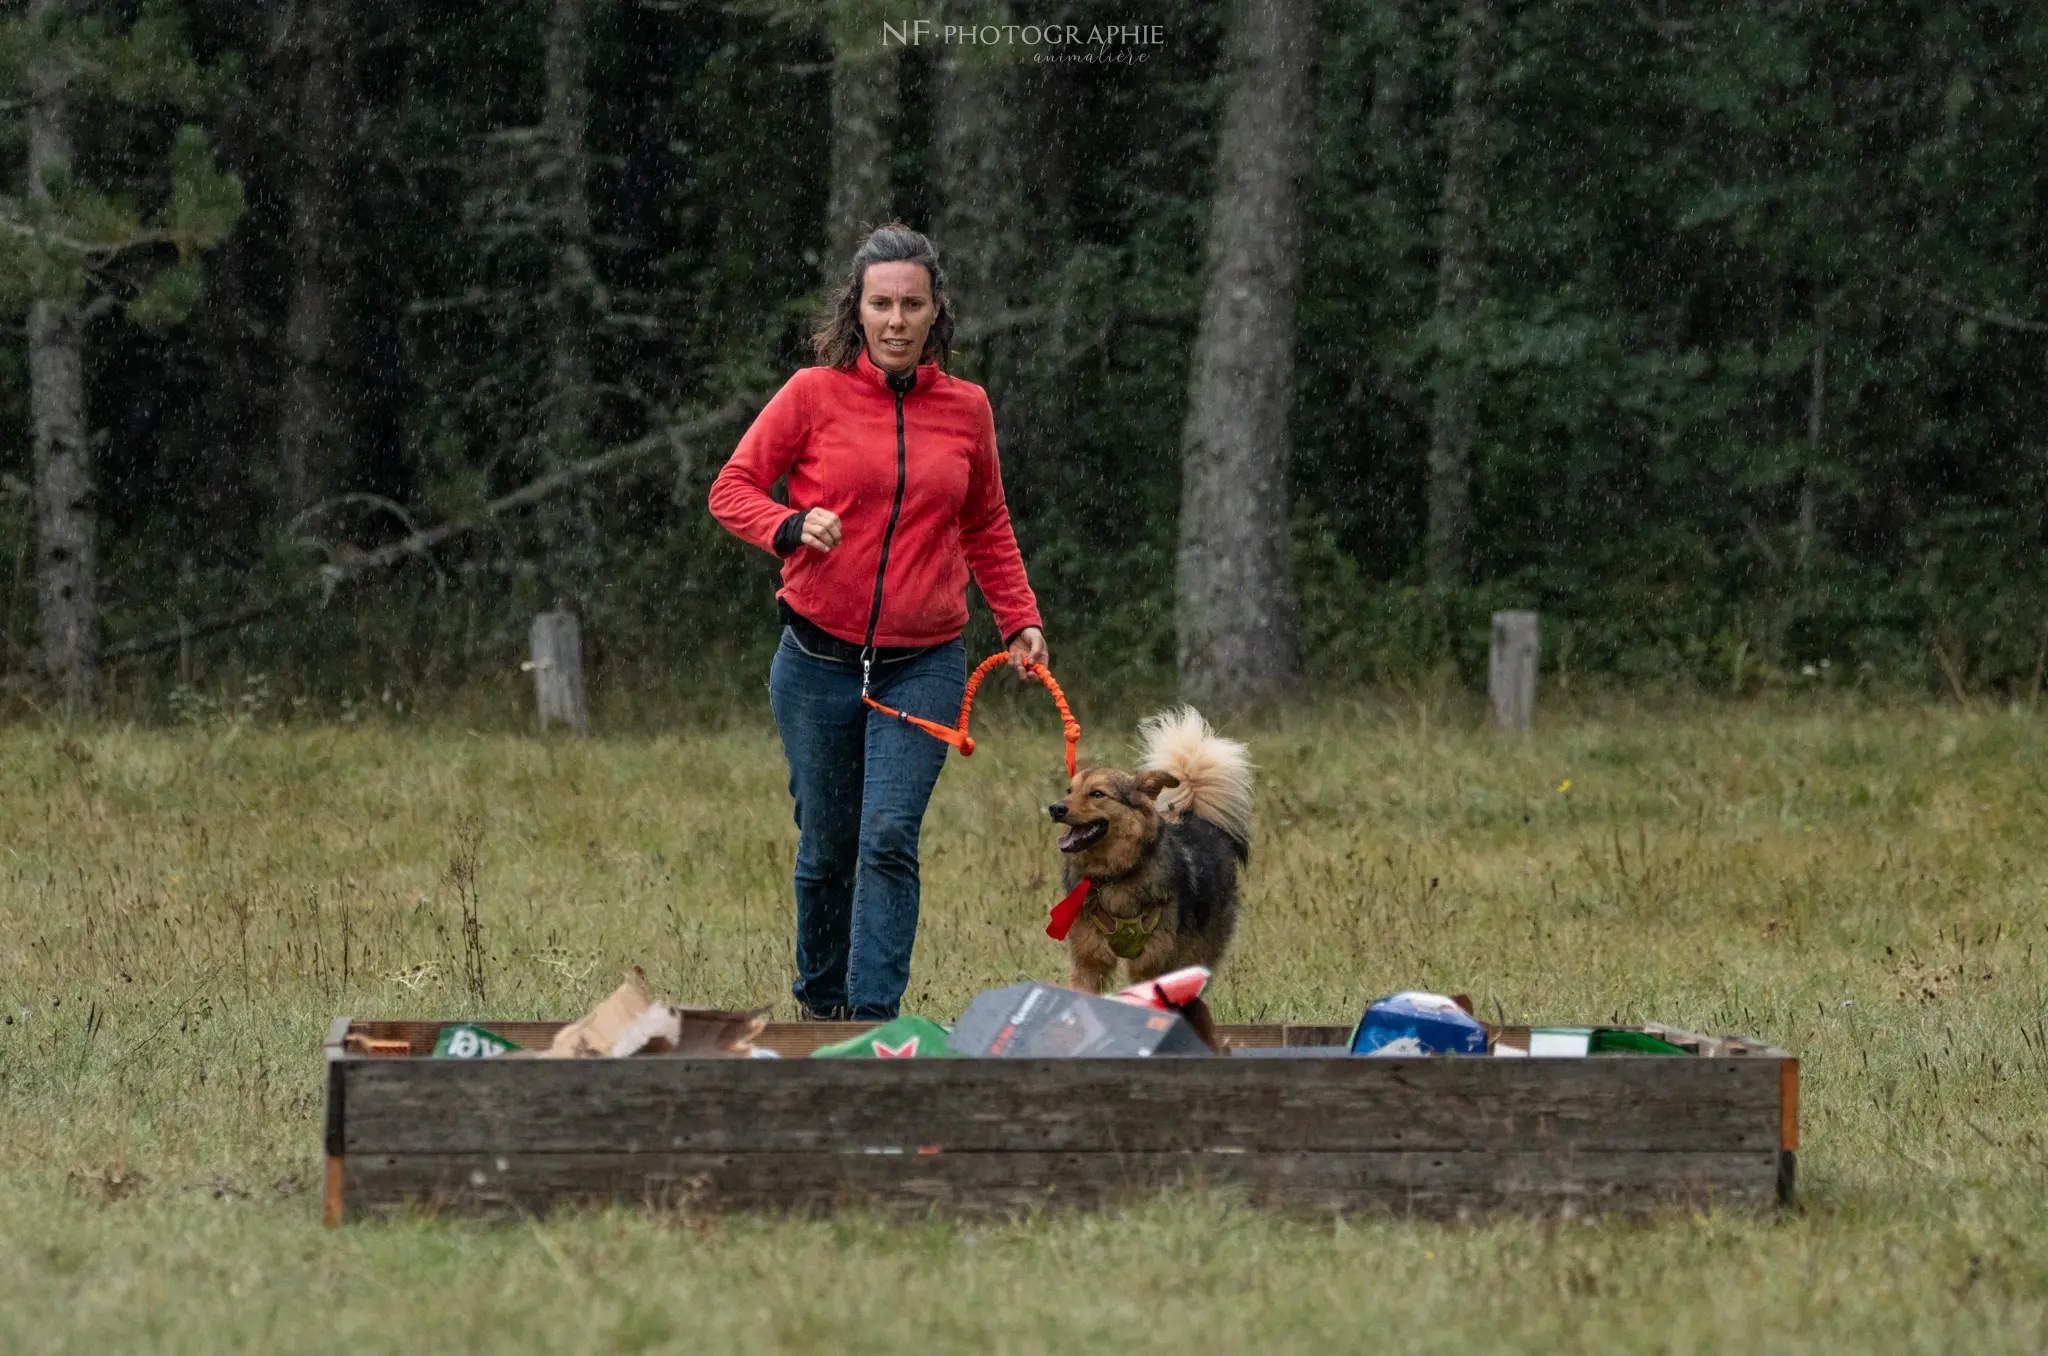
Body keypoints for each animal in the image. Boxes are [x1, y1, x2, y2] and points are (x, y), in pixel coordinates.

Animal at [1048, 712, 1253, 999]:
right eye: (1070, 791)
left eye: (1097, 794)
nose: (1055, 809)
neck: (1115, 876)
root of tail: (1194, 814)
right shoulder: (1089, 960)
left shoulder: (1153, 961)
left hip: (1196, 948)